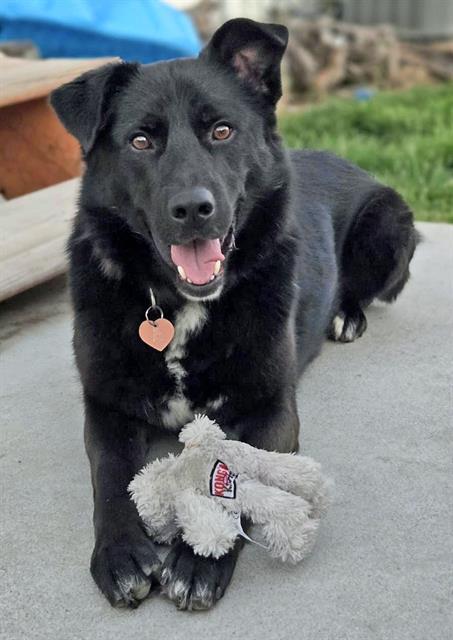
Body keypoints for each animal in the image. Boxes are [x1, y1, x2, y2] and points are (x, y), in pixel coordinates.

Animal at [50, 17, 416, 608]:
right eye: (140, 140)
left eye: (222, 131)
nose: (194, 209)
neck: (177, 304)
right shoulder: (105, 408)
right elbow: (109, 477)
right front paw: (121, 550)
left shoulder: (272, 407)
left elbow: (236, 474)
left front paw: (200, 558)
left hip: (388, 226)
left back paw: (347, 316)